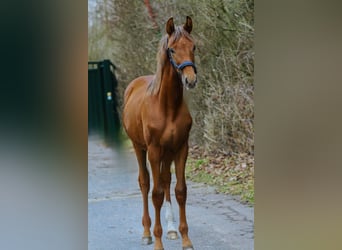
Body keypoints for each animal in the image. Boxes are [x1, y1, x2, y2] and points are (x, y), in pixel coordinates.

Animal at [123, 17, 198, 250]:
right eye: (172, 49)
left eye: (194, 47)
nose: (190, 80)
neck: (167, 106)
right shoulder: (154, 151)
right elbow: (155, 194)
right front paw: (157, 240)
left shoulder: (181, 148)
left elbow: (180, 191)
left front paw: (185, 239)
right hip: (140, 148)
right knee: (145, 183)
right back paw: (146, 233)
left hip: (168, 152)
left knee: (165, 180)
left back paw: (172, 229)